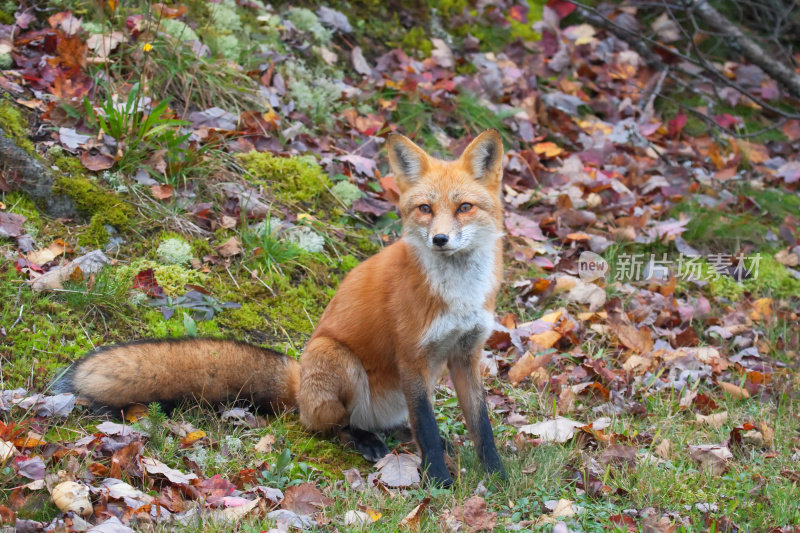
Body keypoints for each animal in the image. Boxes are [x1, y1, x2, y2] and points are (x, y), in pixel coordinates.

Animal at [53, 130, 506, 486]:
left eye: (464, 207)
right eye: (425, 209)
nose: (440, 240)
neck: (458, 294)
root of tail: (299, 379)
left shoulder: (466, 353)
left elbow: (481, 424)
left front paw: (498, 476)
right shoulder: (412, 356)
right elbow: (426, 427)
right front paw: (440, 482)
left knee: (397, 422)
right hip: (336, 358)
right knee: (330, 424)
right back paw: (364, 439)